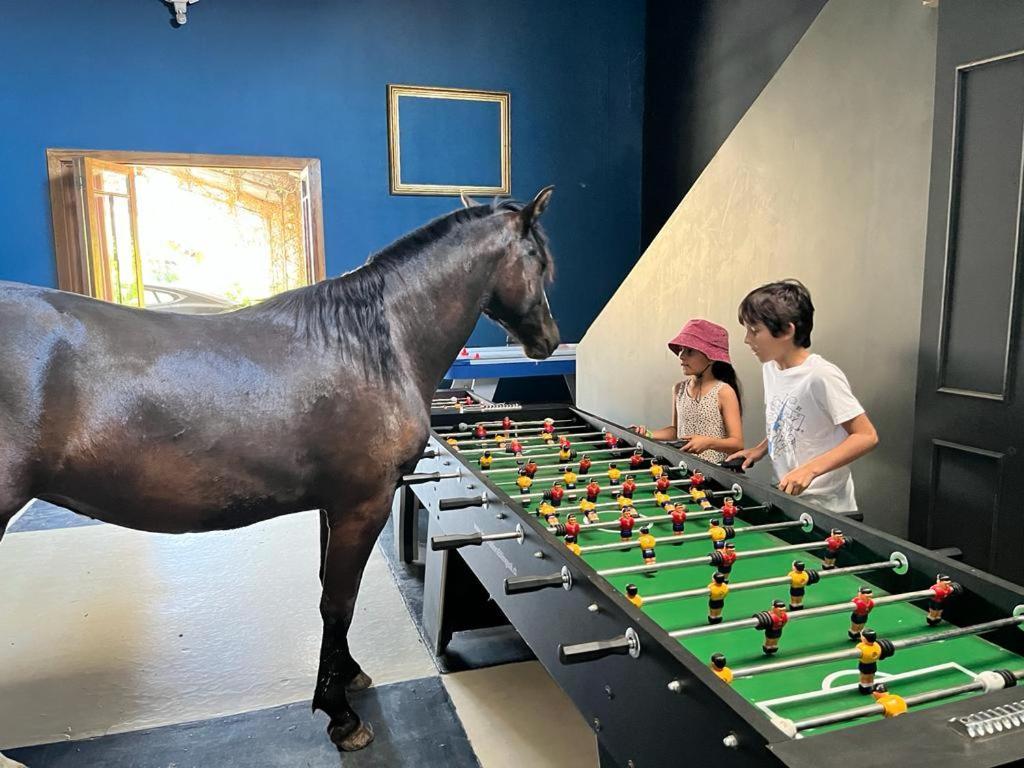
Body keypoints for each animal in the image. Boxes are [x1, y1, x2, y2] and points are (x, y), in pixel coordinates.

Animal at [0, 182, 561, 765]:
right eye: (538, 260)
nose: (548, 339)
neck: (372, 346)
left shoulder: (332, 507)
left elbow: (331, 592)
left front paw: (348, 676)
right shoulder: (363, 507)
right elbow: (338, 602)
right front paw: (341, 716)